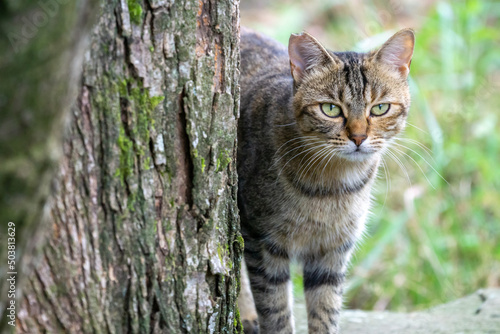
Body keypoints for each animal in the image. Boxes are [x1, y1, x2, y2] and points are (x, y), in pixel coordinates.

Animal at [237, 28, 414, 334]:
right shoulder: (261, 241)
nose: (359, 137)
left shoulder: (332, 252)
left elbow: (326, 310)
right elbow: (276, 311)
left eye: (380, 108)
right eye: (330, 109)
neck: (331, 188)